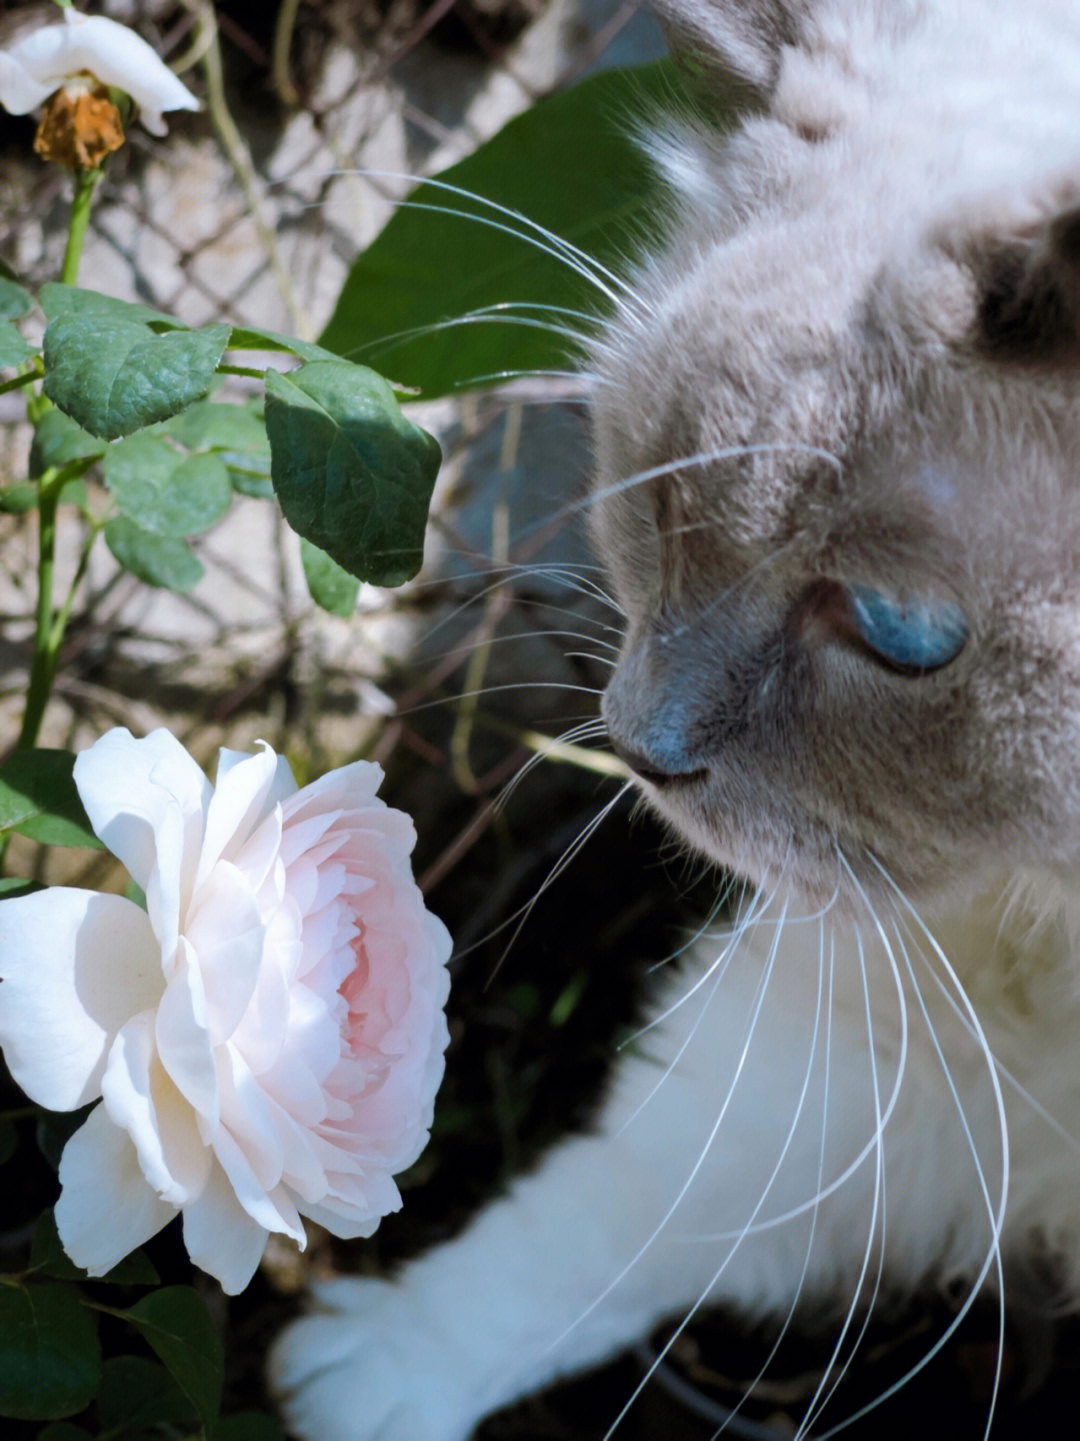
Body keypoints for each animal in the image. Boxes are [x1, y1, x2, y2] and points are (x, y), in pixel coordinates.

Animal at [268, 0, 1080, 1435]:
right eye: (653, 506)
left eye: (897, 632)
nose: (643, 750)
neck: (1068, 912)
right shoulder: (911, 1036)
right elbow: (626, 1210)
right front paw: (365, 1381)